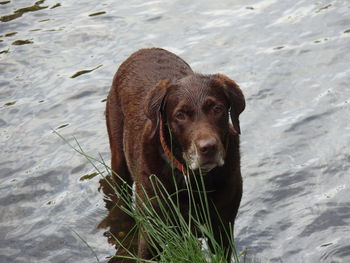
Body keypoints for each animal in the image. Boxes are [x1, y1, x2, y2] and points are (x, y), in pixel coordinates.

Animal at [105, 48, 245, 262]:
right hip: (119, 163)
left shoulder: (222, 231)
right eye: (180, 115)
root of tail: (143, 50)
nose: (208, 148)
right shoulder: (152, 234)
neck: (193, 181)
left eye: (217, 109)